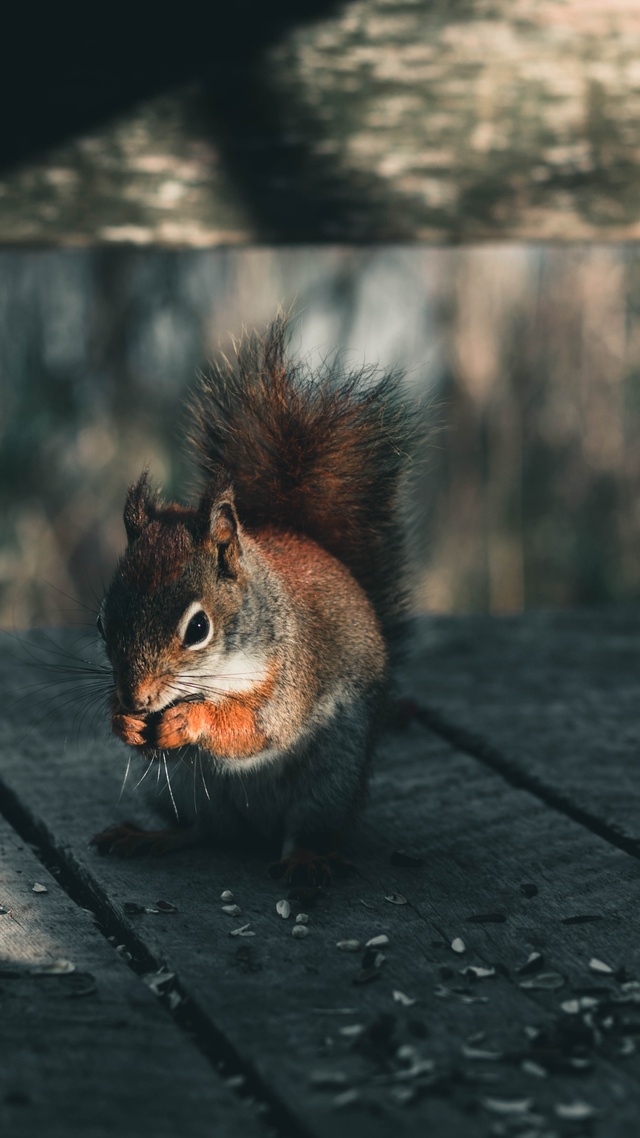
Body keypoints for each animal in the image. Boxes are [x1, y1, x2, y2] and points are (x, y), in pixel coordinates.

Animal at [93, 316, 414, 883]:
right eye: (102, 625)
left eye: (198, 629)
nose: (135, 699)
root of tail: (252, 831)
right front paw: (121, 720)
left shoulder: (290, 673)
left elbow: (256, 728)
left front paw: (190, 721)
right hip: (180, 793)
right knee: (200, 829)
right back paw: (150, 836)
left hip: (330, 779)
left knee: (302, 828)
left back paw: (306, 861)